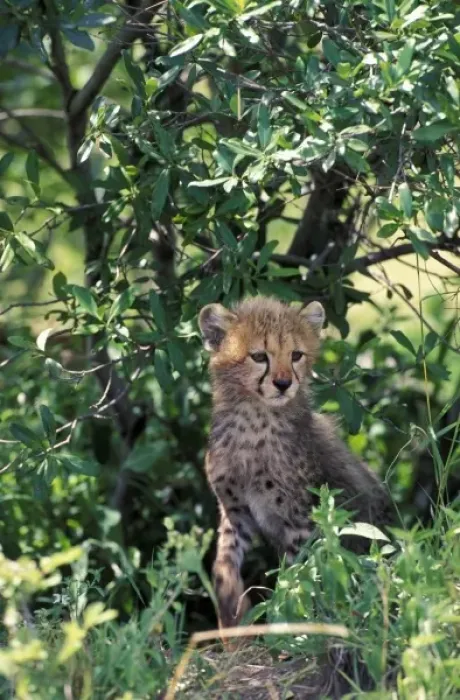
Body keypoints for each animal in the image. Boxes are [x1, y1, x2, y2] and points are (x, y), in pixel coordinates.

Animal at [198, 295, 393, 632]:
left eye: (296, 355)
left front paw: (292, 627)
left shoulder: (300, 523)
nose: (283, 383)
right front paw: (230, 611)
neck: (254, 419)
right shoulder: (236, 511)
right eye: (259, 356)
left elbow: (298, 580)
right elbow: (222, 563)